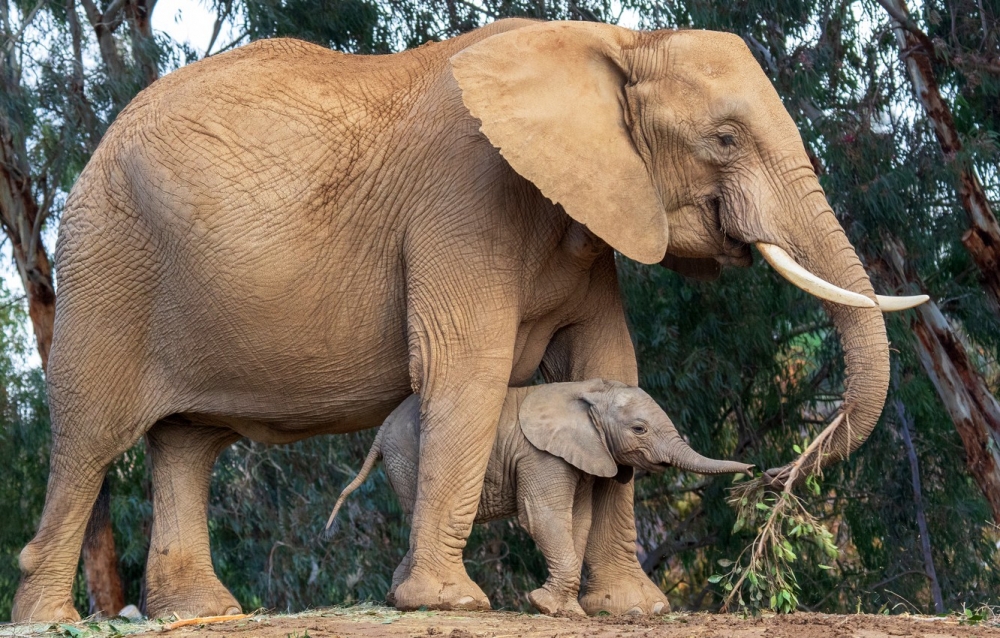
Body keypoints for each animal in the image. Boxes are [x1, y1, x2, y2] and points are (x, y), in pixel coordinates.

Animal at [328, 382, 752, 616]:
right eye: (639, 429)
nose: (753, 470)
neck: (590, 392)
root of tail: (382, 427)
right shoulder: (540, 454)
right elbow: (543, 516)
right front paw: (546, 607)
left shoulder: (585, 455)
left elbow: (577, 520)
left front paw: (565, 610)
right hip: (405, 456)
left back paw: (396, 597)